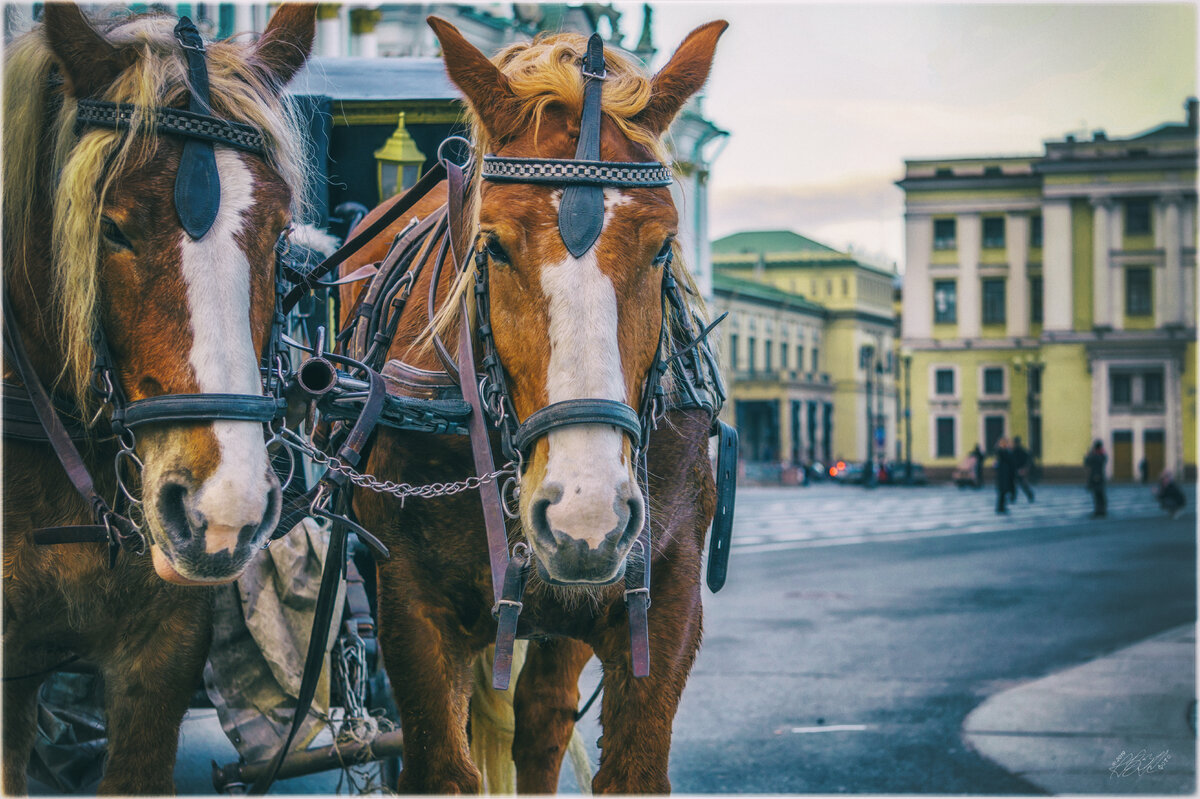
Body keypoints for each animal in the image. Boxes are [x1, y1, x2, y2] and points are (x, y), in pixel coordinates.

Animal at [338, 18, 724, 791]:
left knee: (542, 724)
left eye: (663, 247)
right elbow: (443, 767)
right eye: (493, 246)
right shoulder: (412, 610)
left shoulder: (665, 602)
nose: (587, 514)